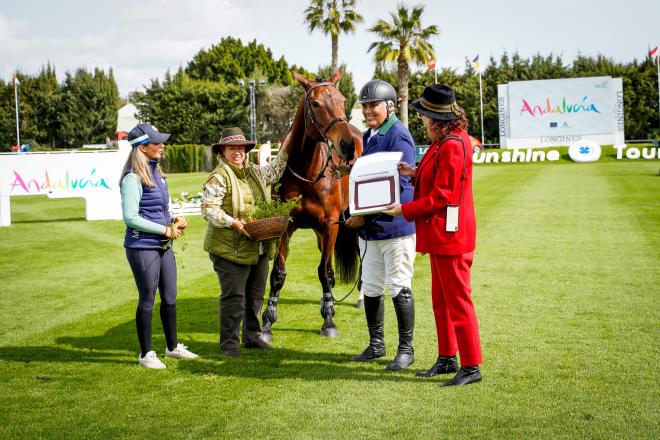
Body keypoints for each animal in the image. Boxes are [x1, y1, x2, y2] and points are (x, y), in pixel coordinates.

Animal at [262, 70, 364, 342]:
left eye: (342, 100)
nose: (347, 146)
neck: (306, 171)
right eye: (316, 104)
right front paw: (267, 322)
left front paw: (329, 321)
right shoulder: (285, 225)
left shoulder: (330, 225)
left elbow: (325, 272)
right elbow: (278, 273)